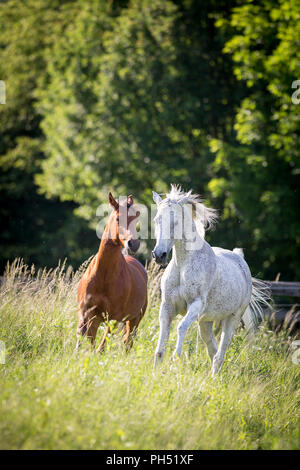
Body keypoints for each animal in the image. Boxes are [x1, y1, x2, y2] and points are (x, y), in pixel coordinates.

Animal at [76, 193, 148, 350]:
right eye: (118, 218)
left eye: (136, 217)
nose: (133, 244)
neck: (103, 276)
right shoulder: (86, 314)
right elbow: (85, 341)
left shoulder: (114, 318)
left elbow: (101, 347)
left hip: (135, 320)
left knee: (128, 342)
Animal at [152, 185, 270, 376]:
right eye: (156, 220)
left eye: (175, 222)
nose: (159, 255)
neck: (183, 265)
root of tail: (239, 258)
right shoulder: (167, 307)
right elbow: (161, 344)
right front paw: (156, 372)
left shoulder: (196, 305)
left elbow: (181, 327)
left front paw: (176, 357)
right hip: (205, 322)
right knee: (212, 349)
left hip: (232, 319)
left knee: (220, 353)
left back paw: (214, 379)